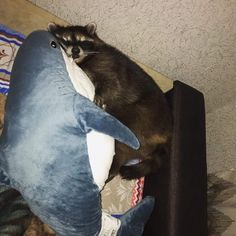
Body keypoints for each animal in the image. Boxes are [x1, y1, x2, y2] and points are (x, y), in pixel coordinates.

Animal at [48, 22, 173, 181]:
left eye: (83, 41)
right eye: (65, 39)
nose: (76, 50)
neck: (82, 61)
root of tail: (166, 135)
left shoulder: (108, 65)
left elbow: (112, 84)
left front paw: (99, 95)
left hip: (140, 120)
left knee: (122, 145)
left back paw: (109, 171)